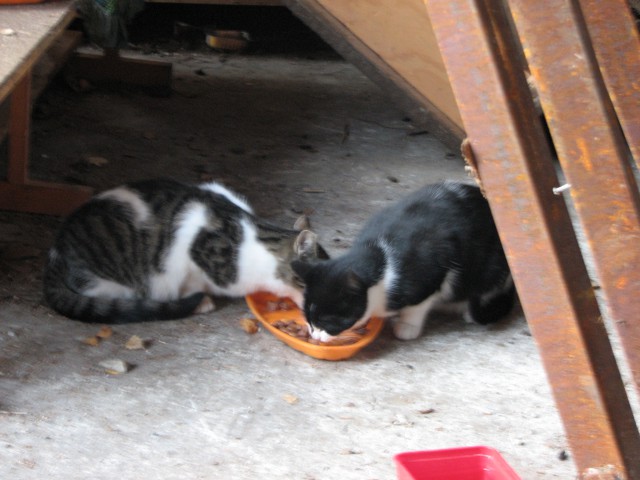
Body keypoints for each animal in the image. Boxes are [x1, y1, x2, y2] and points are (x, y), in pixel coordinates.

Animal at [291, 181, 515, 341]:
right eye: (308, 317)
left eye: (327, 322)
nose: (314, 335)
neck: (381, 257)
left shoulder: (431, 272)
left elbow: (418, 305)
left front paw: (408, 326)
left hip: (491, 268)